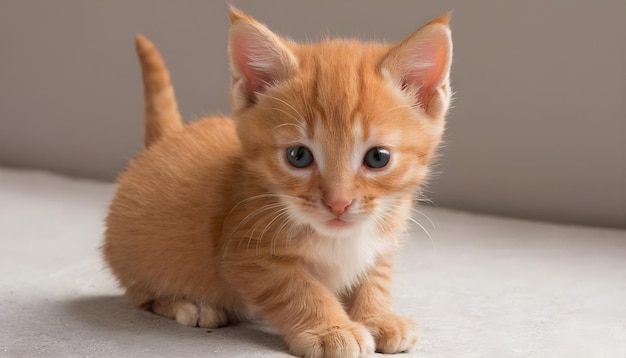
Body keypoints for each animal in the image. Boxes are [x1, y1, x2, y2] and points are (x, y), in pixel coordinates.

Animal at [105, 7, 450, 356]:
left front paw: (378, 317)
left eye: (378, 158)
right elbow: (298, 288)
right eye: (298, 156)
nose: (338, 203)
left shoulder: (386, 234)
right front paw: (331, 329)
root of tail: (166, 138)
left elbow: (374, 277)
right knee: (140, 293)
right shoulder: (244, 250)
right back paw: (190, 305)